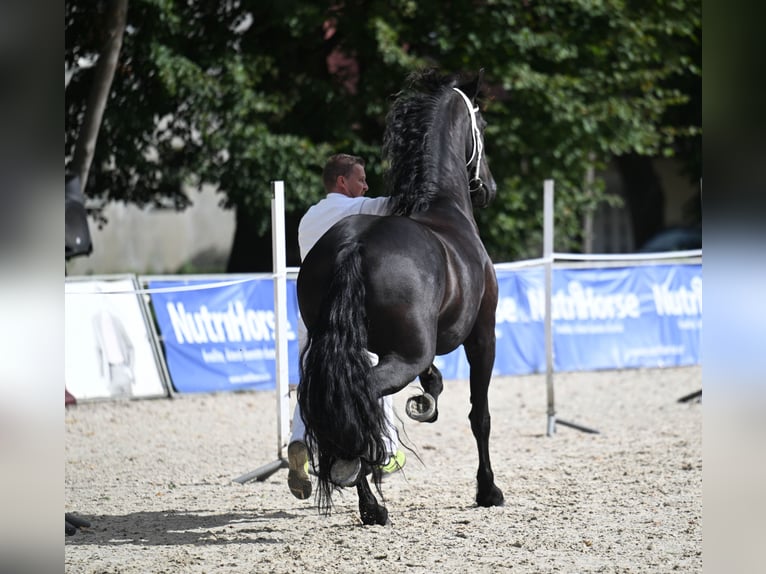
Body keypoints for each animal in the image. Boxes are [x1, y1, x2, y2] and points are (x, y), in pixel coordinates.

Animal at [296, 70, 508, 528]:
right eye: (482, 125)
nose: (489, 188)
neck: (445, 208)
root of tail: (354, 244)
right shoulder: (482, 335)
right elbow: (480, 416)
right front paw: (488, 491)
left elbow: (436, 382)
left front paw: (428, 396)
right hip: (406, 355)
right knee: (360, 398)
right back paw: (368, 493)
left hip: (341, 350)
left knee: (335, 400)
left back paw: (361, 493)